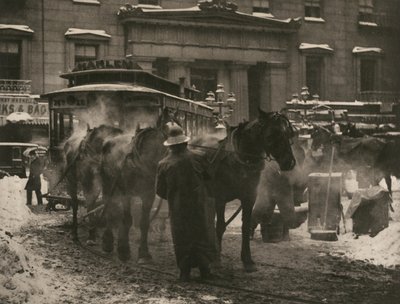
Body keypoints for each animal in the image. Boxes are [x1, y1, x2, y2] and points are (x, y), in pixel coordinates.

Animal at [99, 108, 175, 262]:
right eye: (170, 133)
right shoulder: (126, 193)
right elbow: (127, 220)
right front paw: (124, 251)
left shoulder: (148, 195)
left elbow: (144, 222)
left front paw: (144, 253)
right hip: (108, 183)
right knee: (109, 208)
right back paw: (108, 242)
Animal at [192, 108, 296, 270]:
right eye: (272, 135)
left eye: (289, 134)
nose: (289, 162)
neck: (240, 160)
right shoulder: (220, 198)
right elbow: (220, 226)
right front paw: (216, 259)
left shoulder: (249, 198)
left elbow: (245, 227)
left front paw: (247, 260)